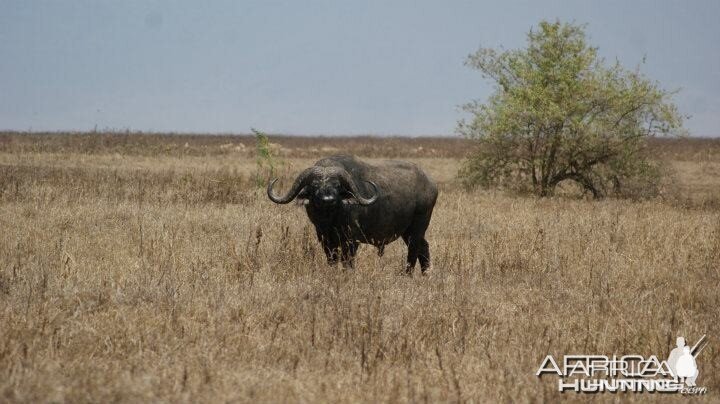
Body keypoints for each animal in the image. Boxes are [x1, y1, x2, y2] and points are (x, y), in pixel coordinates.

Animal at [268, 155, 438, 274]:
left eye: (337, 185)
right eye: (315, 185)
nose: (328, 199)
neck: (331, 220)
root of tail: (431, 185)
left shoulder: (351, 240)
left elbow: (347, 261)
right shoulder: (324, 238)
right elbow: (332, 259)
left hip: (417, 227)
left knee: (414, 250)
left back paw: (407, 274)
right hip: (408, 231)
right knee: (424, 247)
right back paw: (426, 273)